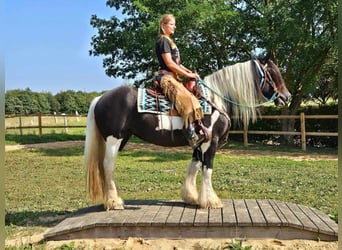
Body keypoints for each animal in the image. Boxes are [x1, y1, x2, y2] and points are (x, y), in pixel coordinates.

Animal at [84, 55, 290, 210]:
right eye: (273, 73)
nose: (286, 97)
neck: (215, 100)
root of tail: (100, 98)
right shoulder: (211, 141)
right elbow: (207, 169)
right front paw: (211, 201)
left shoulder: (198, 142)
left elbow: (194, 167)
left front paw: (192, 197)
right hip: (114, 139)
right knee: (108, 166)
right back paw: (114, 202)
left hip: (121, 138)